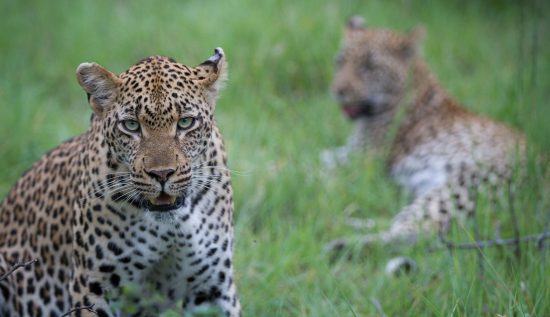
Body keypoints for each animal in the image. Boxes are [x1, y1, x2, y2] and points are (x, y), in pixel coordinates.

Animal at [0, 47, 242, 316]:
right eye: (131, 125)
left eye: (185, 122)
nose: (162, 174)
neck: (168, 226)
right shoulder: (93, 288)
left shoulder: (212, 288)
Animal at [326, 17, 528, 251]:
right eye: (340, 62)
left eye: (369, 66)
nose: (338, 90)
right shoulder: (350, 152)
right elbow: (321, 157)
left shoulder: (361, 160)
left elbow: (314, 166)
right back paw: (343, 219)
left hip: (458, 188)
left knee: (419, 232)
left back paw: (341, 243)